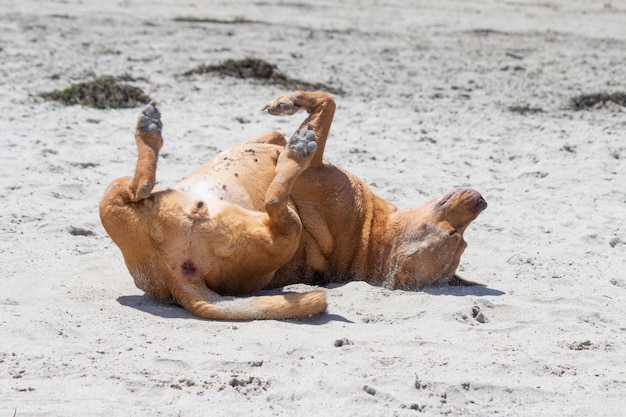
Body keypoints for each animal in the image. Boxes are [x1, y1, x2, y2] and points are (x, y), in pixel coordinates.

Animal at [100, 90, 486, 318]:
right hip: (112, 195)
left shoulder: (317, 169)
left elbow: (327, 103)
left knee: (276, 202)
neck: (369, 240)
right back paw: (149, 133)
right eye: (459, 238)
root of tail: (174, 279)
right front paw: (287, 105)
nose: (483, 201)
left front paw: (294, 117)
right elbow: (284, 128)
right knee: (138, 187)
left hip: (283, 230)